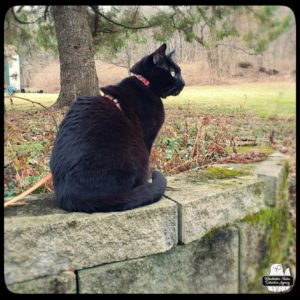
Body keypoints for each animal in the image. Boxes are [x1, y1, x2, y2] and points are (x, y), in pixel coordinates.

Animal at [50, 44, 184, 213]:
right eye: (173, 72)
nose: (184, 82)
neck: (144, 83)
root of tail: (69, 196)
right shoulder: (147, 137)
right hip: (134, 150)